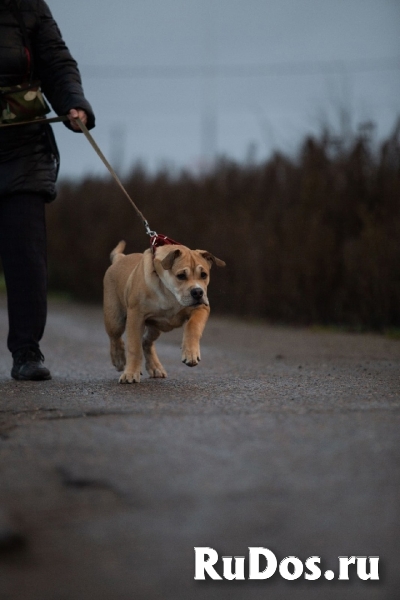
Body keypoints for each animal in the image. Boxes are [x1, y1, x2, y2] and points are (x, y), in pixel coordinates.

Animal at [103, 240, 225, 384]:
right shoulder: (136, 316)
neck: (169, 292)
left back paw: (155, 368)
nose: (198, 292)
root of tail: (119, 259)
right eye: (181, 276)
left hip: (155, 328)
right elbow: (134, 347)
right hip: (115, 319)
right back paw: (119, 360)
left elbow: (193, 326)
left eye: (204, 275)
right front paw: (130, 373)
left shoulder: (202, 308)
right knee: (115, 338)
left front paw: (190, 353)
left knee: (146, 341)